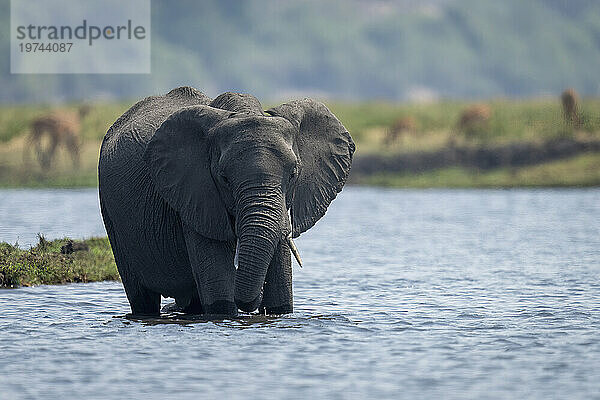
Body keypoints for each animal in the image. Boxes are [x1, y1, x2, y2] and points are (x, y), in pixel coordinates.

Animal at [96, 86, 354, 316]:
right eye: (224, 179)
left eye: (293, 174)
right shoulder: (194, 193)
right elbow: (220, 290)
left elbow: (281, 295)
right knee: (142, 298)